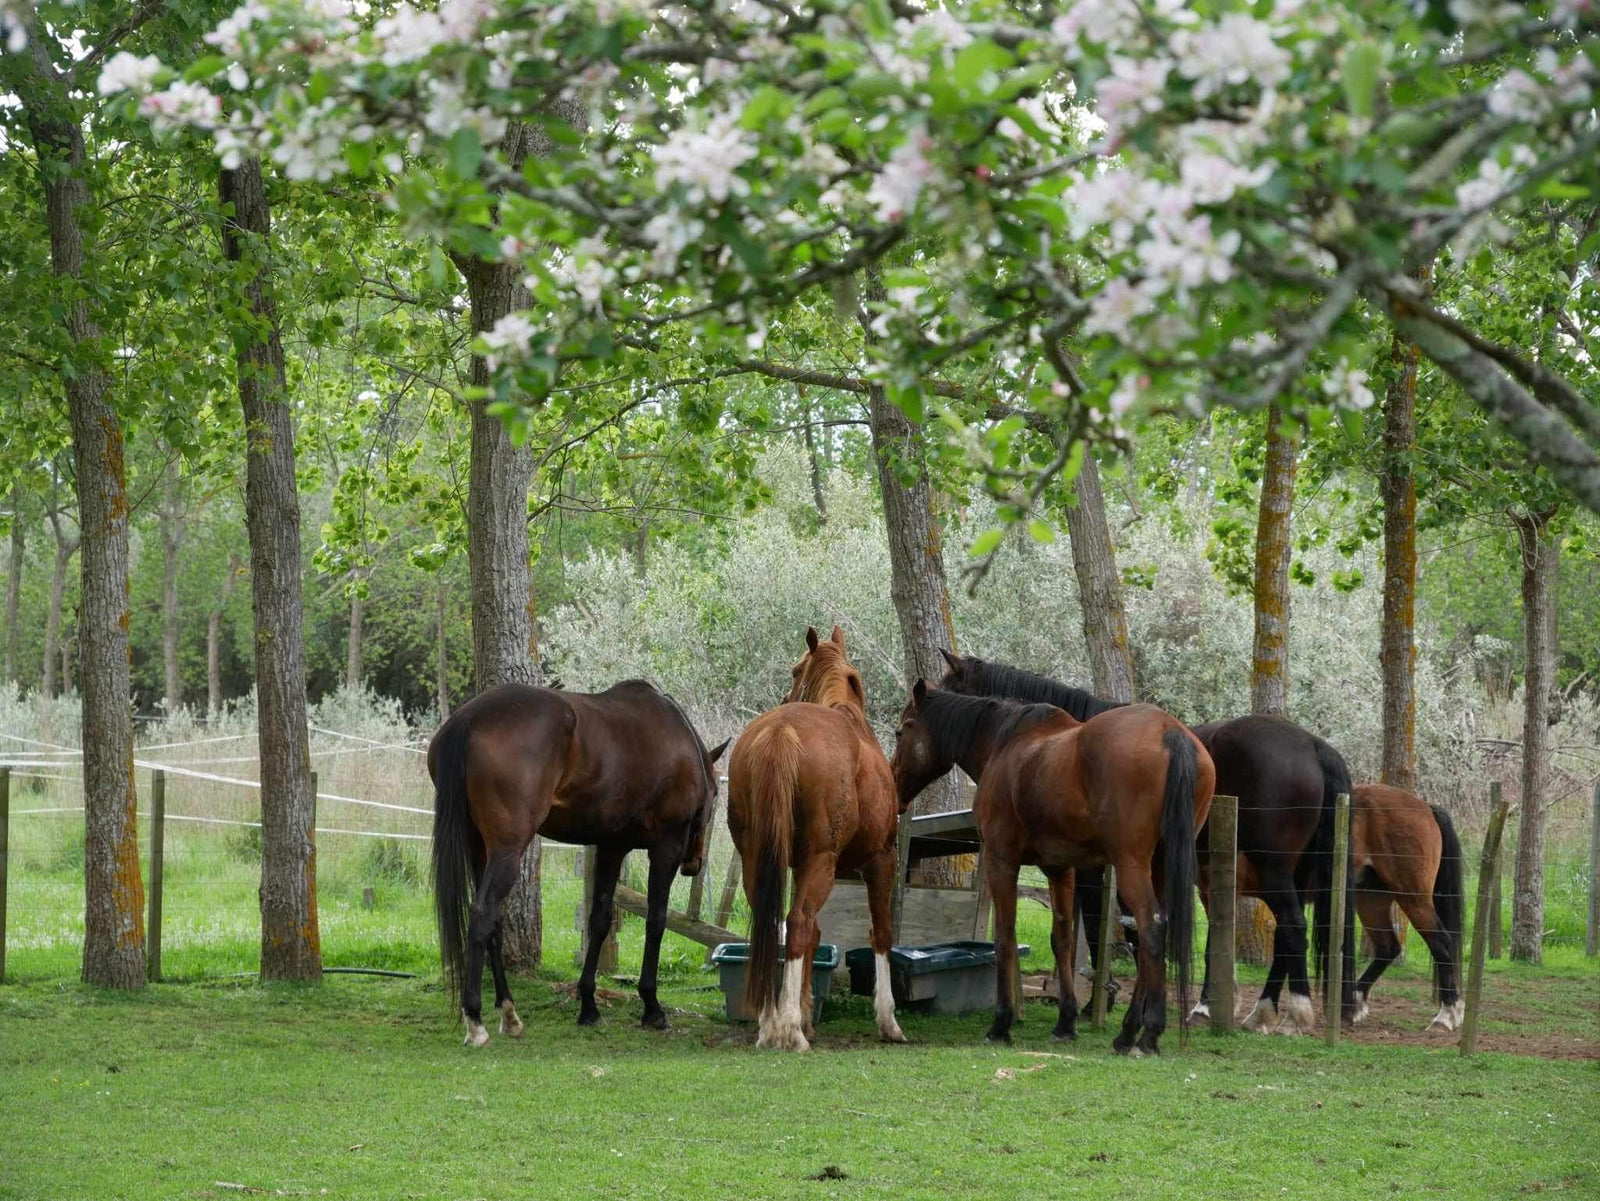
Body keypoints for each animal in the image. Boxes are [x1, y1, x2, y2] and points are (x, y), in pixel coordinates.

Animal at [430, 680, 728, 1046]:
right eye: (716, 796)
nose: (694, 863)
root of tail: (468, 718)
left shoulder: (612, 848)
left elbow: (599, 920)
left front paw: (588, 1006)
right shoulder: (665, 848)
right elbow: (656, 922)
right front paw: (652, 1007)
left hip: (479, 850)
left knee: (494, 924)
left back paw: (509, 1013)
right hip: (507, 852)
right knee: (483, 913)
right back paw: (475, 1019)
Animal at [726, 625, 905, 1051]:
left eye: (794, 671)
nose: (786, 696)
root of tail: (781, 729)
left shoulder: (794, 864)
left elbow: (815, 936)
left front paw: (807, 1015)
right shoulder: (880, 859)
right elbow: (880, 932)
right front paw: (887, 1019)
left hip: (758, 857)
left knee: (773, 927)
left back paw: (770, 1022)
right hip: (823, 861)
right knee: (797, 923)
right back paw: (788, 1027)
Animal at [889, 679, 1214, 1054]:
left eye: (901, 731)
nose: (893, 785)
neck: (1004, 743)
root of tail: (1169, 731)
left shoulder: (1001, 862)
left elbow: (1004, 938)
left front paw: (1001, 1024)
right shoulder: (1060, 869)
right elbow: (1062, 940)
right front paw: (1065, 1022)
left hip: (1131, 866)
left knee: (1151, 928)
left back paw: (1146, 1033)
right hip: (1159, 867)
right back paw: (1128, 1032)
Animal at [935, 652, 1357, 1035]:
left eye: (947, 686)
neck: (1054, 747)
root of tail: (1313, 745)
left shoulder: (1094, 870)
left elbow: (1103, 928)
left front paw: (1099, 1005)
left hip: (1271, 869)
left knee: (1292, 927)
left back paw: (1290, 1014)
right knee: (1287, 933)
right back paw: (1258, 1011)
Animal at [1349, 783, 1465, 1031]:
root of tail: (1426, 807)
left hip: (1413, 898)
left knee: (1441, 942)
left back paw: (1446, 1014)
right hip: (1370, 899)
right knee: (1388, 947)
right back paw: (1354, 1001)